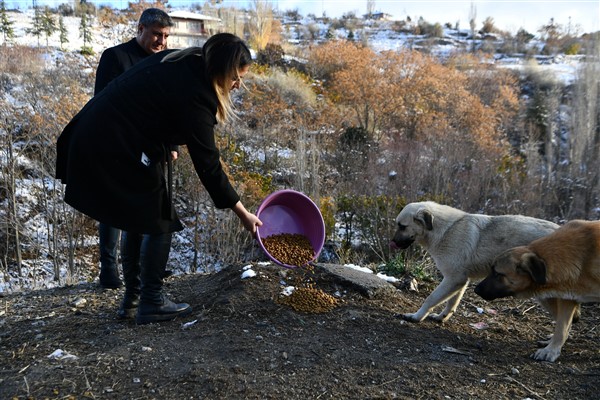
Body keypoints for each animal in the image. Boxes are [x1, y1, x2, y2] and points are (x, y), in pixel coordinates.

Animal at [390, 202, 556, 324]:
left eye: (402, 226)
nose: (392, 242)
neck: (446, 230)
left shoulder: (453, 279)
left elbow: (430, 299)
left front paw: (416, 317)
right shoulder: (460, 281)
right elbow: (451, 303)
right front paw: (441, 317)